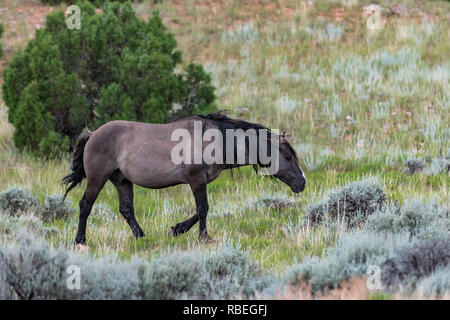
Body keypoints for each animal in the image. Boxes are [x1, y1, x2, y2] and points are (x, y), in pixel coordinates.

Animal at [62, 112, 306, 245]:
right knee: (85, 205)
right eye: (287, 156)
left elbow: (199, 211)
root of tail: (93, 134)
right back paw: (80, 240)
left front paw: (177, 229)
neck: (214, 140)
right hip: (98, 178)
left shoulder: (199, 182)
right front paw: (204, 238)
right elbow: (203, 209)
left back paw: (141, 237)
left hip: (121, 180)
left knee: (126, 210)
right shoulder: (197, 180)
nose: (302, 183)